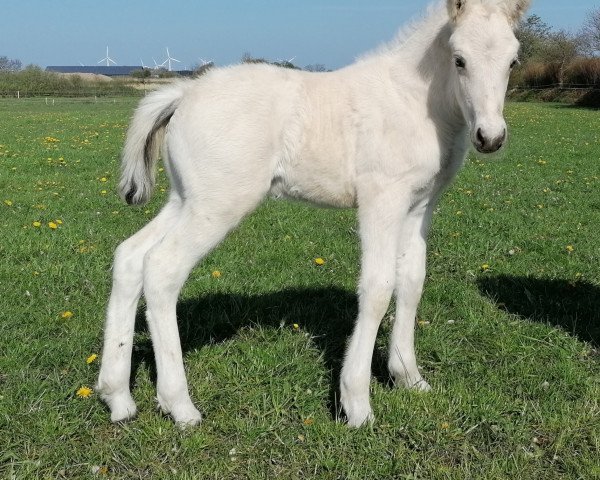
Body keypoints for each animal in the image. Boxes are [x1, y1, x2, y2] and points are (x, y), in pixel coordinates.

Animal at [97, 0, 528, 428]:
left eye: (513, 60)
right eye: (459, 59)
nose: (490, 138)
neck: (414, 101)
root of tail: (185, 92)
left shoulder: (420, 206)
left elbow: (412, 282)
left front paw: (409, 377)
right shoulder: (381, 199)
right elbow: (378, 288)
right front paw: (356, 403)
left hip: (186, 199)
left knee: (130, 256)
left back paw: (117, 397)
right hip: (216, 205)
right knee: (163, 268)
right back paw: (180, 406)